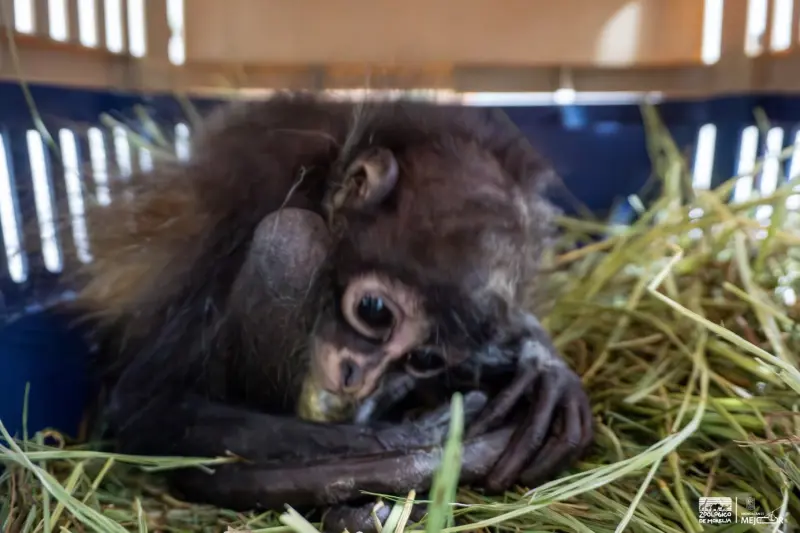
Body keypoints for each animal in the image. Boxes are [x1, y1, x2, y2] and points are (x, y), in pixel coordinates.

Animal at [73, 92, 594, 521]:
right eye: (374, 311)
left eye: (425, 358)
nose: (355, 376)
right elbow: (146, 408)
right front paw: (417, 440)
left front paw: (542, 363)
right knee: (291, 237)